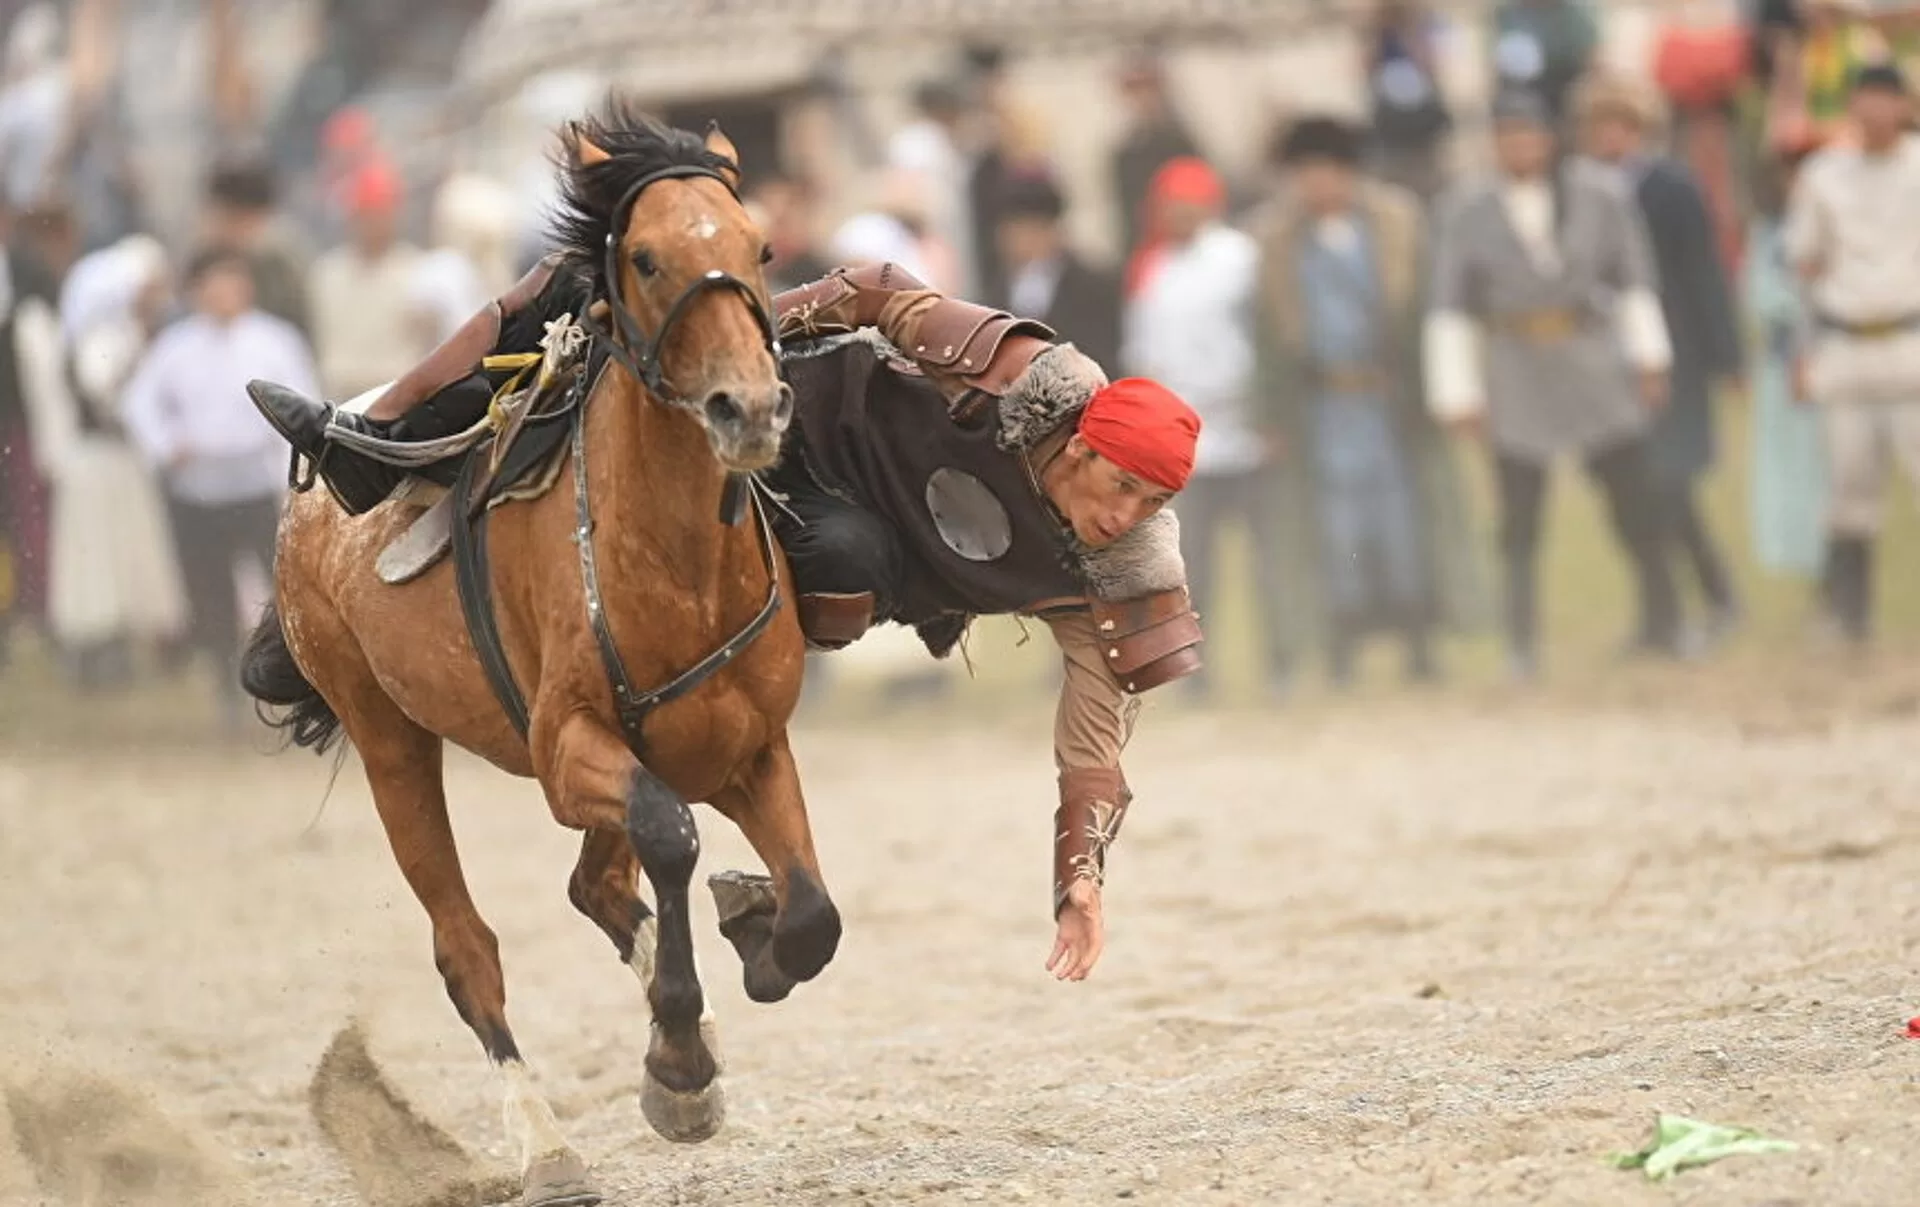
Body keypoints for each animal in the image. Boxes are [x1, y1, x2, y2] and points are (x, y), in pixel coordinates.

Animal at [238, 103, 840, 1205]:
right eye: (644, 258)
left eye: (761, 248)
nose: (748, 409)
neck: (675, 560)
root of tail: (303, 516)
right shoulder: (569, 751)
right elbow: (671, 837)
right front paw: (678, 1056)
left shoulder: (748, 747)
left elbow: (810, 914)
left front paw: (750, 948)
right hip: (389, 739)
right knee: (467, 945)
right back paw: (550, 1145)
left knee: (596, 885)